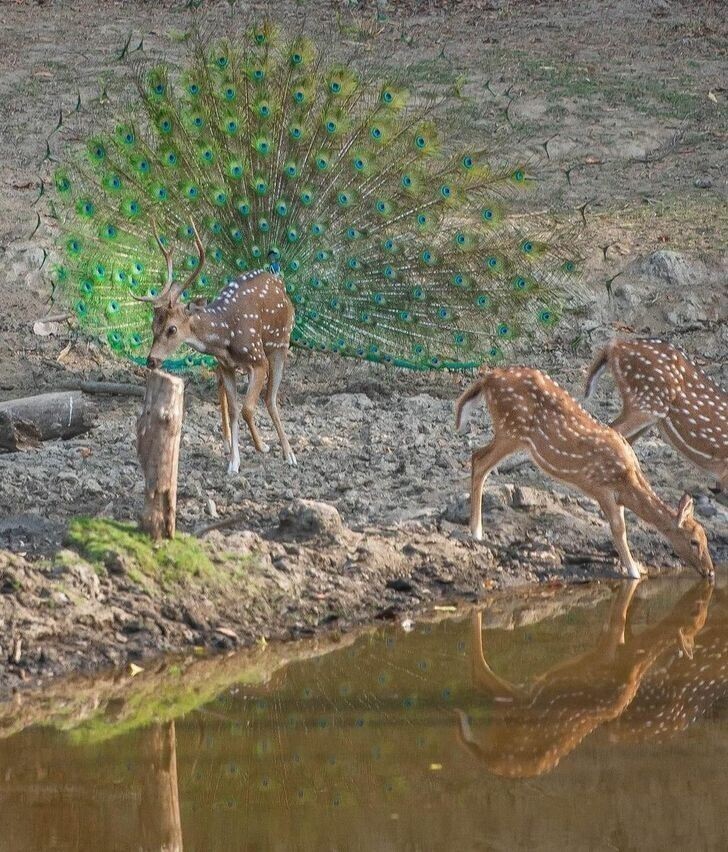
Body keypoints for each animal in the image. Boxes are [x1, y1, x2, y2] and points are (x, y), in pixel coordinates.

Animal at [134, 220, 296, 472]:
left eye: (172, 328)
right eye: (152, 326)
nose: (151, 360)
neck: (226, 336)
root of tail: (280, 282)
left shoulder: (257, 360)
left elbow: (248, 408)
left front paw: (262, 447)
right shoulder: (227, 366)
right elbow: (235, 410)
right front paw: (233, 463)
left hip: (280, 344)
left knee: (271, 398)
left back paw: (289, 454)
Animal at [458, 366, 712, 580]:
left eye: (706, 538)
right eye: (694, 541)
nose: (710, 571)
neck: (627, 481)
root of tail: (488, 378)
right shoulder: (601, 487)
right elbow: (619, 529)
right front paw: (634, 571)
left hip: (509, 432)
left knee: (477, 456)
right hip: (511, 430)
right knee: (479, 460)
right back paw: (476, 531)